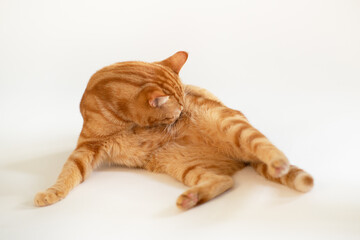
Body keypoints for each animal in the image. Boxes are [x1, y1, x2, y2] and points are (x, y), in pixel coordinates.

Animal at [35, 51, 314, 209]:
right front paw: (52, 193)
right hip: (182, 165)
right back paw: (192, 199)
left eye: (183, 103)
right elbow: (68, 174)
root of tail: (243, 160)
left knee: (268, 148)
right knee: (223, 181)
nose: (182, 115)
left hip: (232, 126)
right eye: (175, 109)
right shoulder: (86, 148)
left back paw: (278, 164)